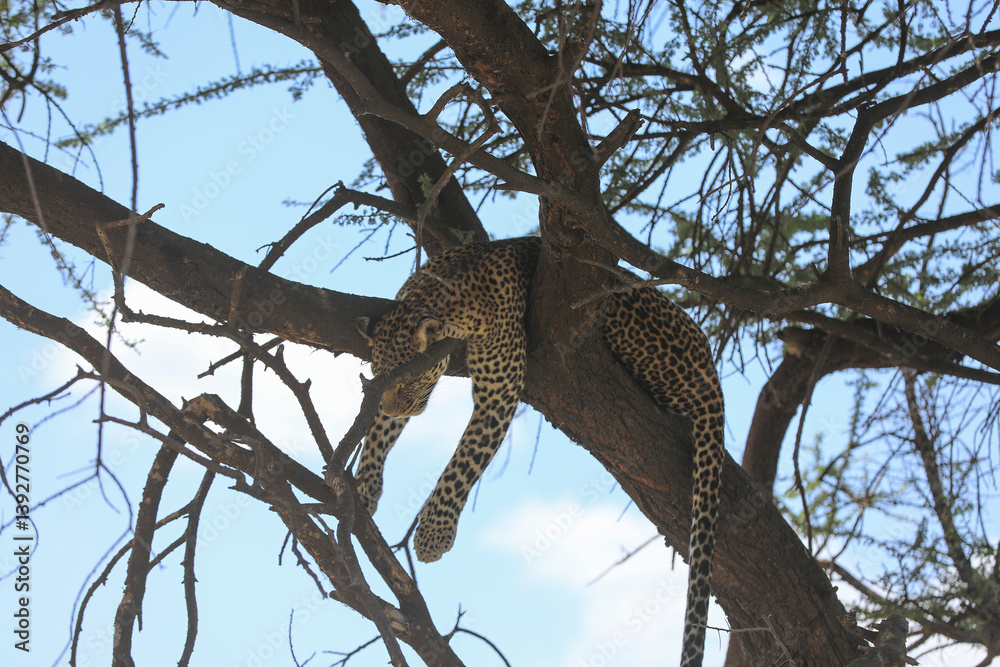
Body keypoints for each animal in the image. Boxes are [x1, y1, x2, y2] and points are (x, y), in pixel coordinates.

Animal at [354, 236, 723, 667]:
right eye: (378, 377)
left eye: (409, 379)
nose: (395, 407)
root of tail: (708, 360)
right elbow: (378, 433)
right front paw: (363, 488)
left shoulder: (500, 389)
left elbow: (463, 462)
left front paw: (433, 533)